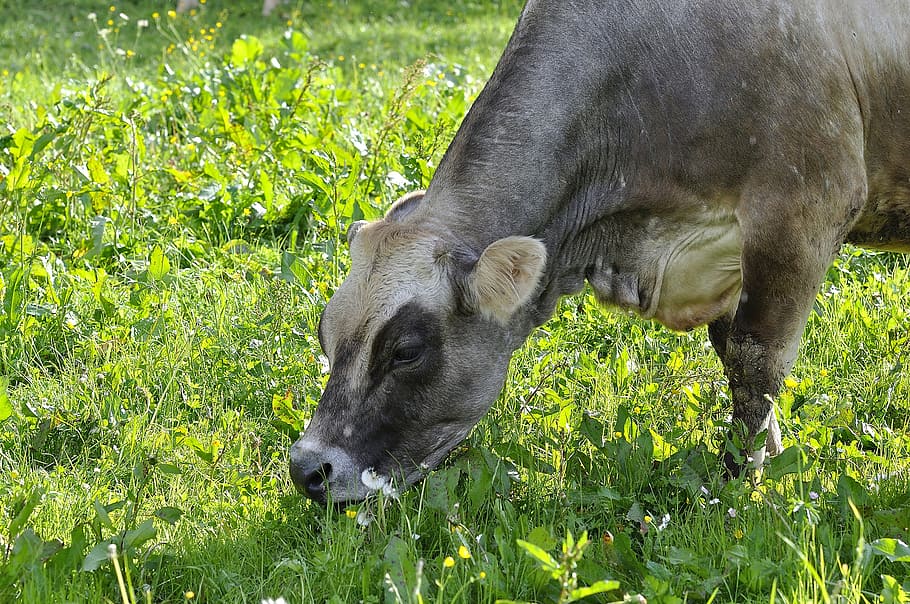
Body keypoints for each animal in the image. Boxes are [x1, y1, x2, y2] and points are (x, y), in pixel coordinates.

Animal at [289, 0, 910, 504]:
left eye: (406, 351)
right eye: (323, 331)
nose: (307, 470)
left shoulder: (802, 209)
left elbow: (755, 360)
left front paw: (740, 482)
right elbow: (731, 351)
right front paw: (773, 460)